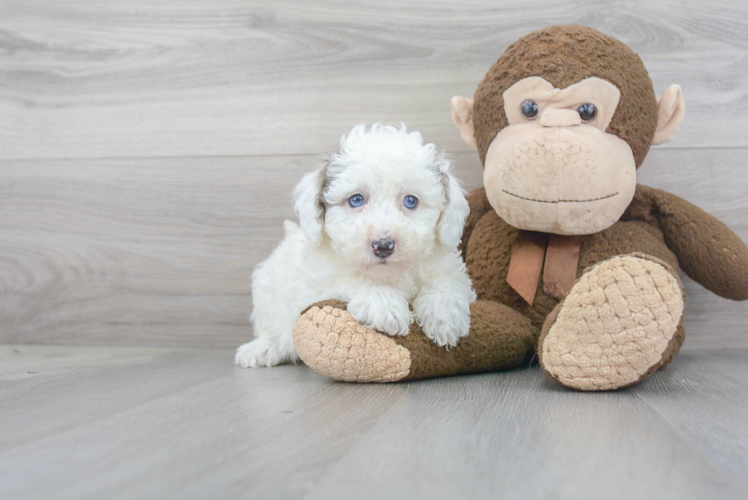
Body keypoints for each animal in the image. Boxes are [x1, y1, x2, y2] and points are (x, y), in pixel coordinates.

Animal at [237, 124, 476, 368]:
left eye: (411, 201)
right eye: (356, 199)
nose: (383, 246)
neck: (388, 274)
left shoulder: (448, 267)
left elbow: (446, 282)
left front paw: (444, 315)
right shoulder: (317, 285)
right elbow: (353, 279)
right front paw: (384, 303)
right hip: (266, 289)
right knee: (269, 326)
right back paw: (262, 348)